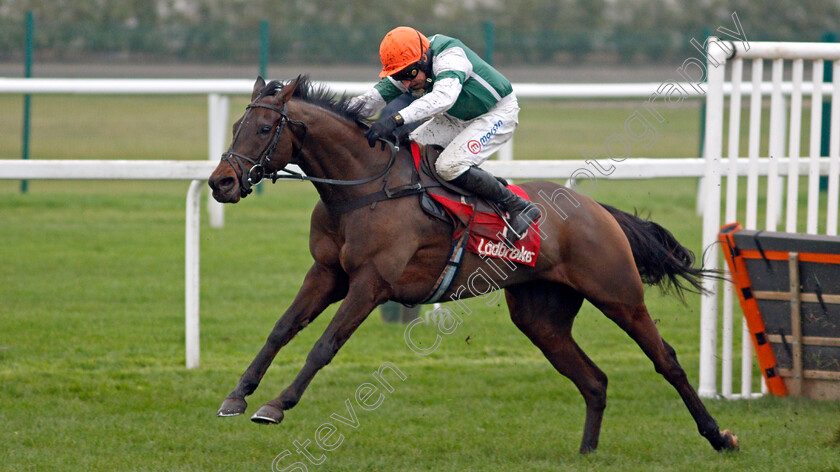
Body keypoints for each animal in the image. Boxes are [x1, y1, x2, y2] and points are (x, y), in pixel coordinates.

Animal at [207, 75, 740, 456]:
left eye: (262, 129)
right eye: (235, 127)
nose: (220, 182)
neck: (365, 188)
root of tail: (598, 211)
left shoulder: (372, 283)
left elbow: (323, 346)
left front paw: (276, 405)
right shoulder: (326, 274)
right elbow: (281, 330)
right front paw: (238, 395)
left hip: (619, 294)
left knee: (665, 359)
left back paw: (719, 436)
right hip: (540, 316)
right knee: (594, 380)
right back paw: (588, 451)